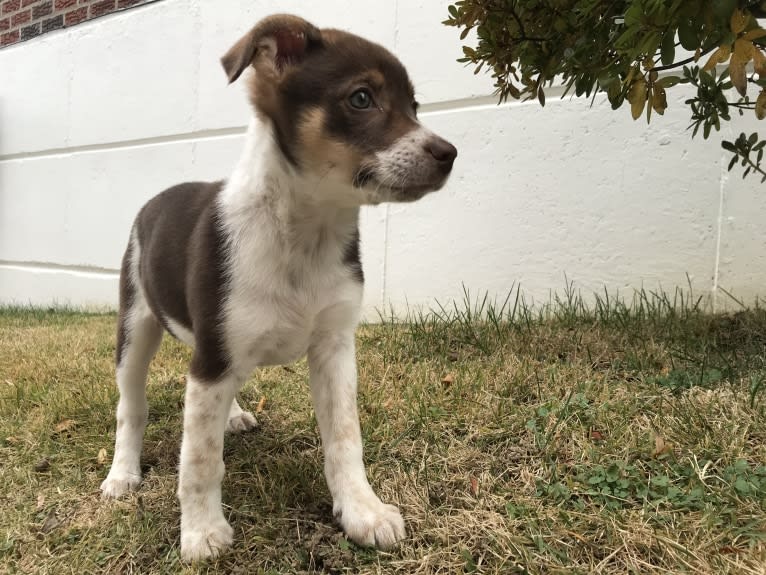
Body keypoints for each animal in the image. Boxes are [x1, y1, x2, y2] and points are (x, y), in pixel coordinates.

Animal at [96, 12, 456, 564]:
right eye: (361, 98)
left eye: (414, 107)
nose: (448, 154)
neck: (305, 235)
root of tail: (157, 197)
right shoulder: (212, 359)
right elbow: (199, 460)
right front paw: (201, 532)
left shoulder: (334, 346)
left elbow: (345, 439)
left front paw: (363, 512)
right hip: (136, 328)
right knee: (130, 407)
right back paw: (123, 474)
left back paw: (234, 415)